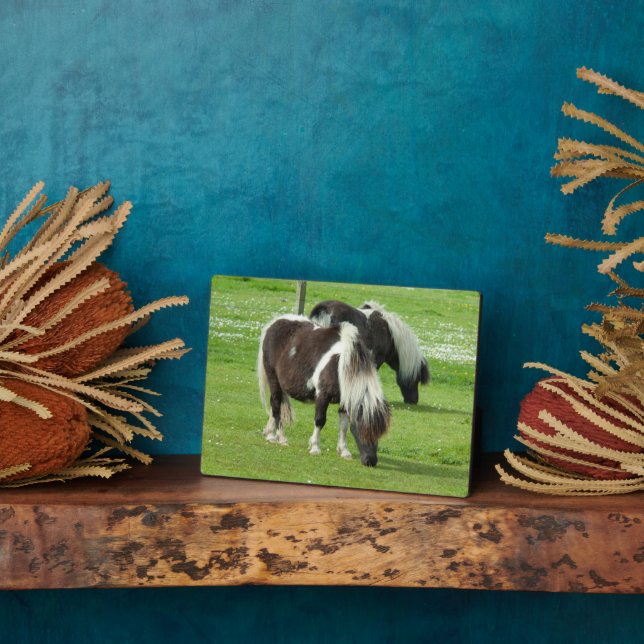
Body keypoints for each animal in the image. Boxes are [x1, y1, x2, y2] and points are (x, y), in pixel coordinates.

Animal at [257, 314, 391, 466]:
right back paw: (279, 438)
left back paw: (270, 433)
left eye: (379, 433)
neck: (341, 364)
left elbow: (343, 425)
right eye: (362, 429)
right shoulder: (323, 396)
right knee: (275, 405)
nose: (371, 461)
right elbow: (320, 420)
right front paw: (315, 447)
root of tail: (275, 323)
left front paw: (344, 451)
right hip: (273, 378)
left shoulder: (345, 400)